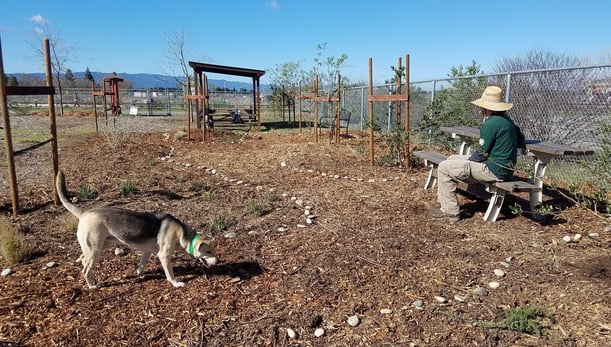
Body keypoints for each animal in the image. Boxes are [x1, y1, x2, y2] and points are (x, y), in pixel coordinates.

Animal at [55, 171, 218, 288]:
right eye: (208, 251)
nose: (217, 261)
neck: (181, 233)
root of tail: (84, 213)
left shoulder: (147, 251)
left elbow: (141, 264)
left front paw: (139, 272)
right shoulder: (164, 256)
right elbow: (170, 273)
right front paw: (176, 283)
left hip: (101, 246)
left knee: (83, 259)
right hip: (95, 249)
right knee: (85, 269)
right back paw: (93, 286)